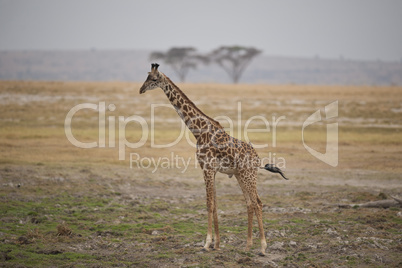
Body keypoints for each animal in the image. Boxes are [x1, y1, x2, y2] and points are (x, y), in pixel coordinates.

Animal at [140, 62, 288, 255]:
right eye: (146, 76)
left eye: (153, 79)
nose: (141, 89)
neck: (198, 131)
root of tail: (257, 159)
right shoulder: (212, 170)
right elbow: (215, 204)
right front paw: (217, 244)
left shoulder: (207, 169)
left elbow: (209, 204)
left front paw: (206, 243)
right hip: (240, 175)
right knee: (249, 203)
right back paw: (247, 245)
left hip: (249, 175)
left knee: (258, 203)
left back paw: (263, 247)